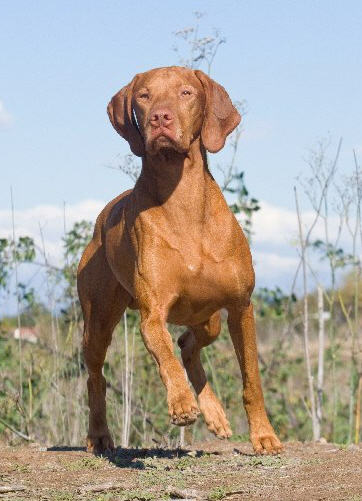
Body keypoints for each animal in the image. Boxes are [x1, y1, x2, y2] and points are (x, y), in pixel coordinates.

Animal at [78, 65, 282, 454]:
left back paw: (215, 413)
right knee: (97, 377)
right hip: (97, 322)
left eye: (186, 92)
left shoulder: (241, 307)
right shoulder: (152, 314)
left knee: (188, 345)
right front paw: (181, 402)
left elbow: (252, 380)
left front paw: (264, 436)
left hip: (209, 319)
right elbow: (165, 357)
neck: (183, 200)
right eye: (144, 96)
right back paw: (99, 435)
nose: (160, 117)